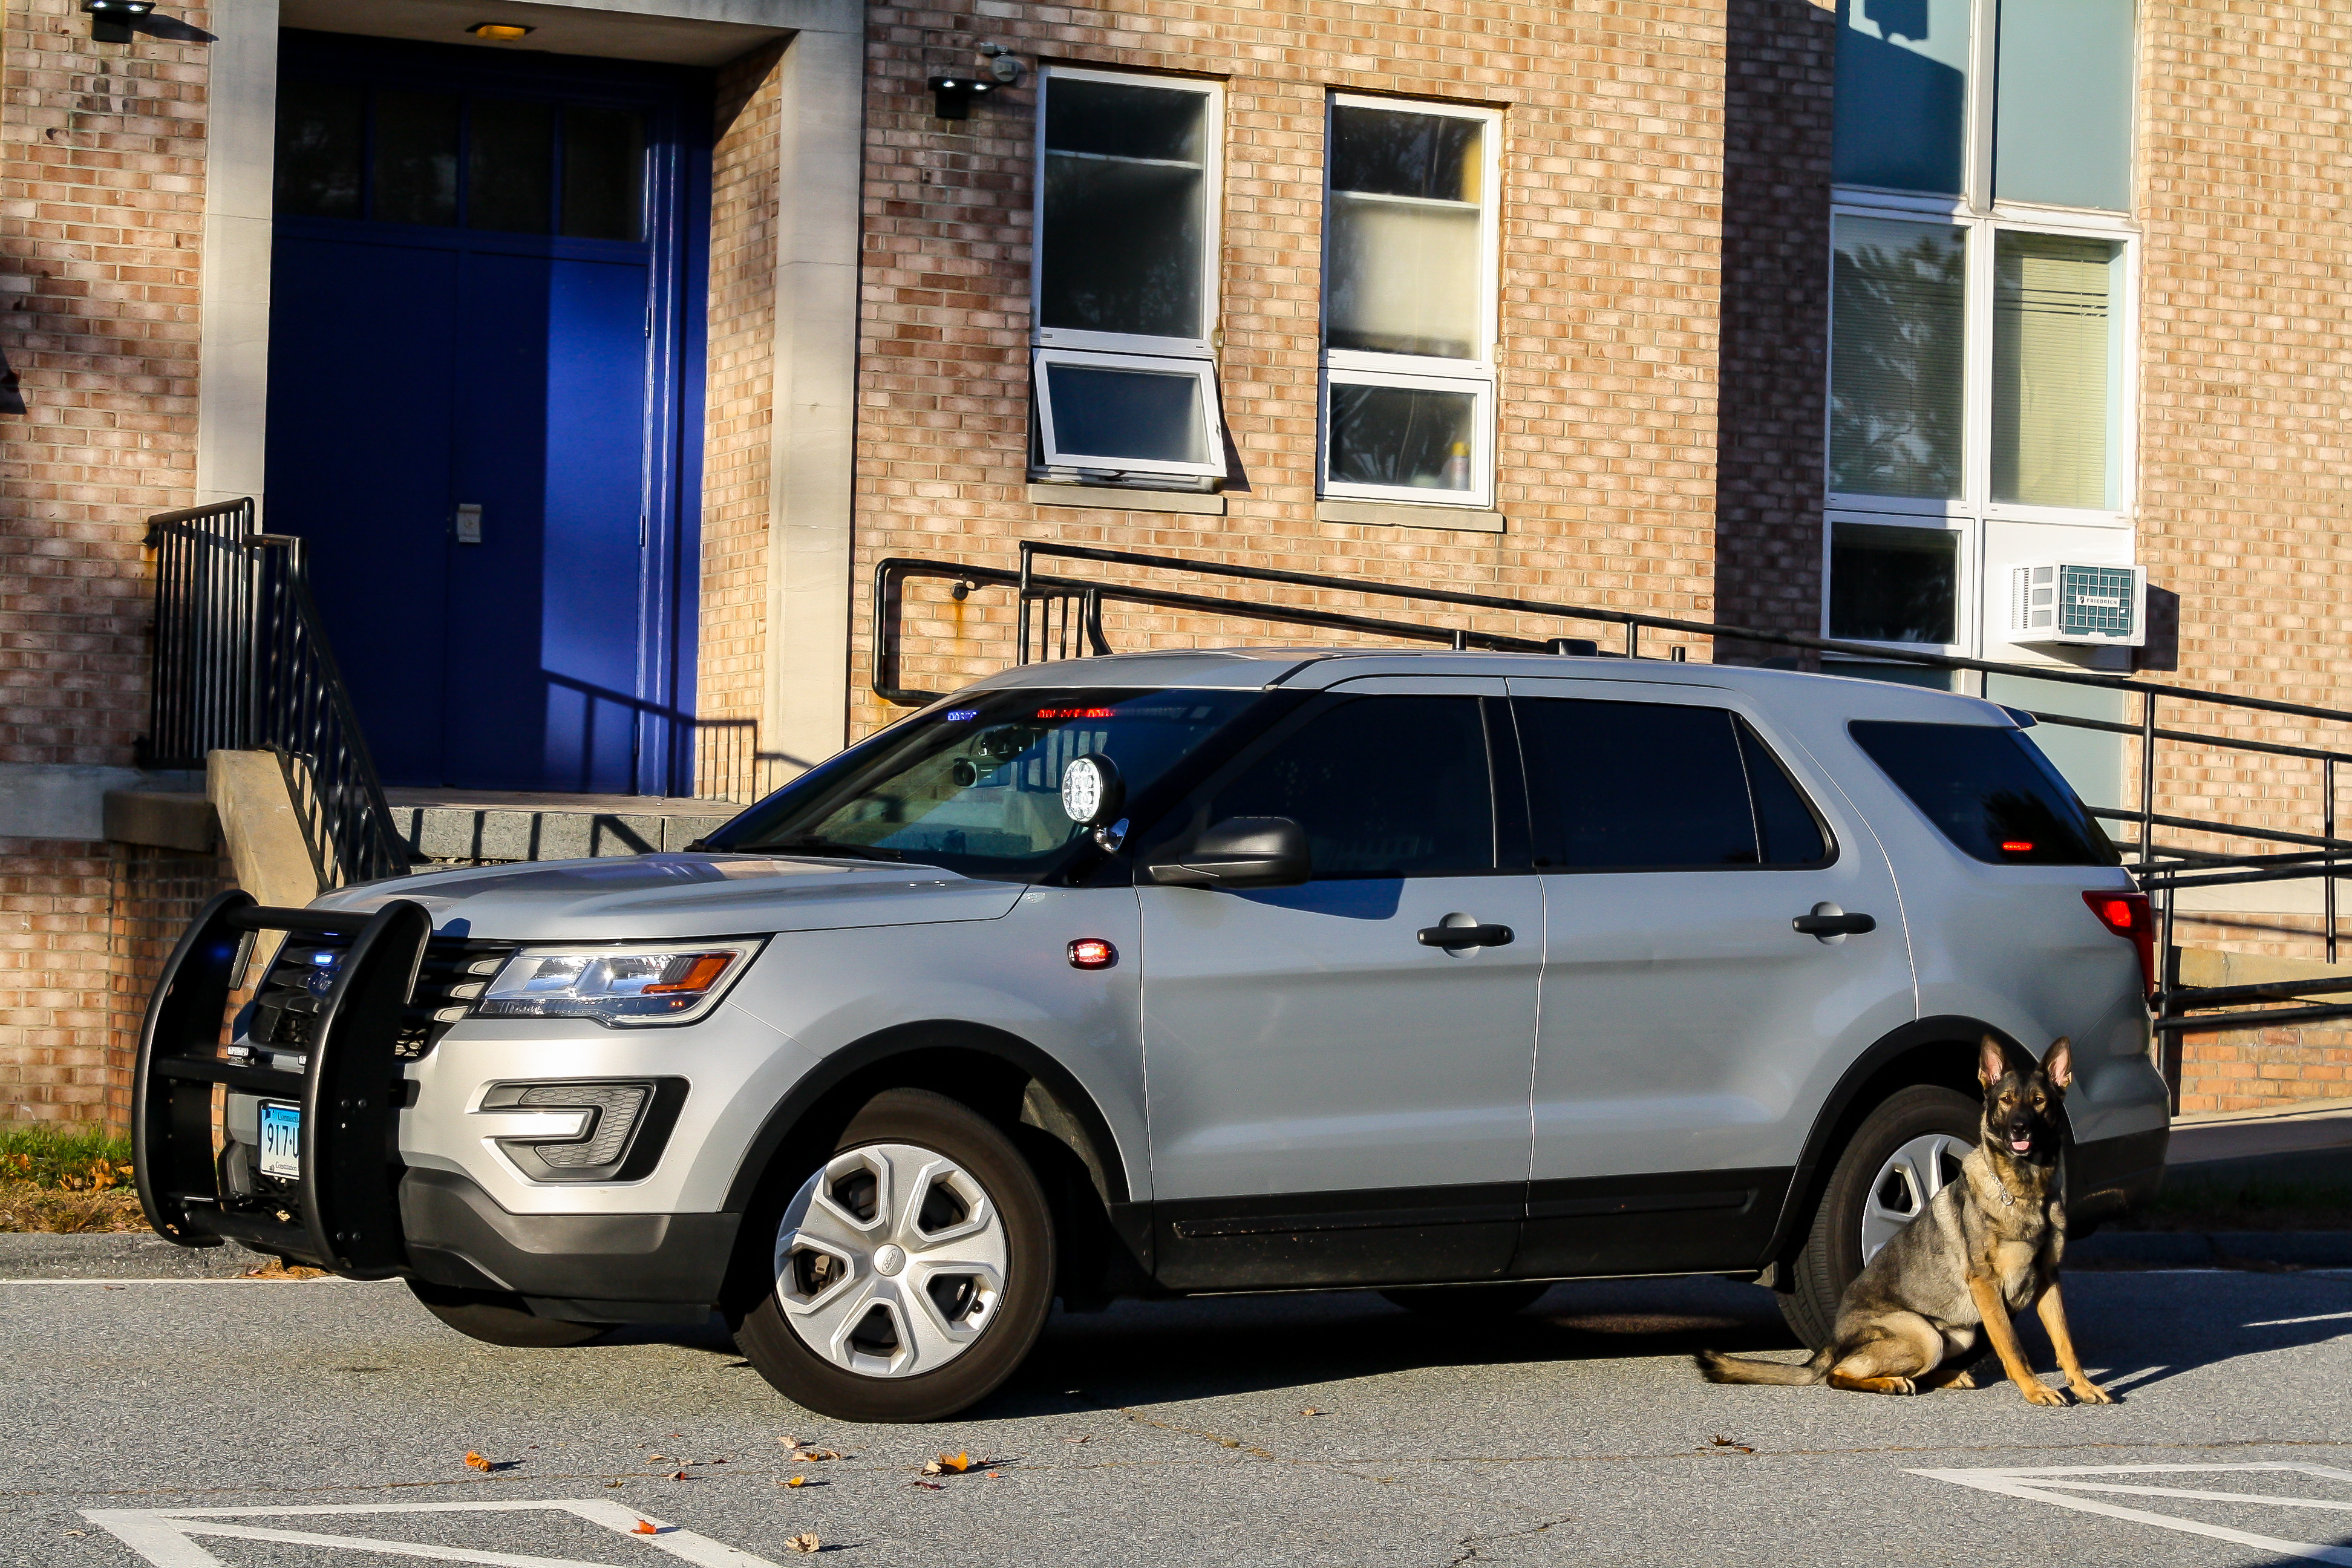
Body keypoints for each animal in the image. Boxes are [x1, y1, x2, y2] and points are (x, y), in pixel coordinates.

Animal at [1702, 1044, 2107, 1410]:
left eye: (2039, 1101)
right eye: (2006, 1101)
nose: (2019, 1128)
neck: (2026, 1191)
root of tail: (1833, 1337)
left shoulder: (2048, 1280)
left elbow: (2065, 1342)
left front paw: (2083, 1386)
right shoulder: (1987, 1286)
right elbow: (2013, 1346)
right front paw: (2036, 1390)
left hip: (1958, 1336)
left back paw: (1945, 1377)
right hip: (1926, 1337)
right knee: (1838, 1374)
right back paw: (1889, 1382)